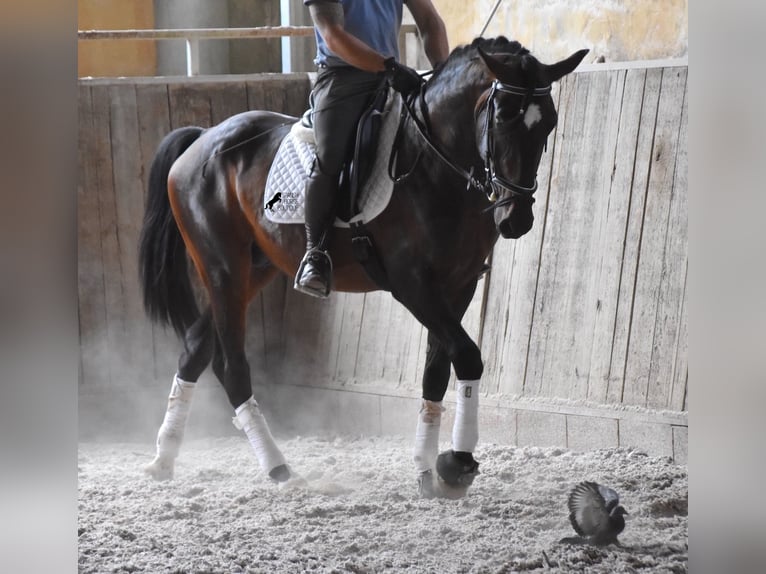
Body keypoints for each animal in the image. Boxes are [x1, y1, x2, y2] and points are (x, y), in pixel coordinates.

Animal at [141, 36, 592, 498]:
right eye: (502, 117)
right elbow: (467, 356)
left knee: (195, 348)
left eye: (549, 124)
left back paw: (163, 459)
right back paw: (279, 469)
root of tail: (202, 138)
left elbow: (436, 370)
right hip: (223, 268)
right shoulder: (412, 285)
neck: (433, 165)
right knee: (231, 366)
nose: (516, 219)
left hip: (255, 268)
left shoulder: (459, 285)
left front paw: (427, 470)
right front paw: (457, 464)